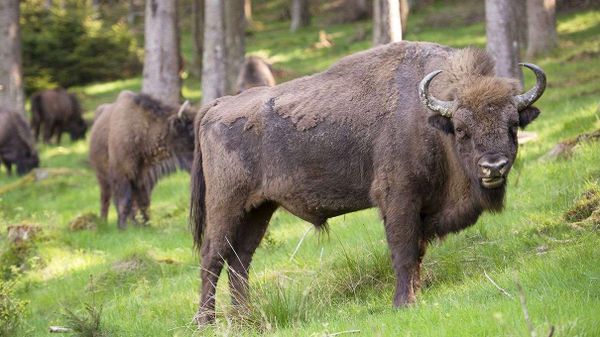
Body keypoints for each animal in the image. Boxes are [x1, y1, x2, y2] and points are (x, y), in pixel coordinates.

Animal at [89, 91, 197, 228]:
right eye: (190, 130)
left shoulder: (143, 178)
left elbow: (143, 201)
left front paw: (146, 224)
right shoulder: (122, 174)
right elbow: (125, 201)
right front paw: (122, 227)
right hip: (102, 177)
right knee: (105, 198)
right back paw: (104, 222)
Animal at [190, 42, 548, 322]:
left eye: (513, 125)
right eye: (462, 129)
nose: (493, 166)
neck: (430, 120)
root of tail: (216, 106)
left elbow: (417, 252)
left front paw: (416, 295)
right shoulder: (399, 199)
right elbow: (403, 251)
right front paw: (403, 303)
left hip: (260, 209)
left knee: (240, 260)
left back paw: (246, 319)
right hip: (227, 206)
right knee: (212, 258)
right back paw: (206, 322)